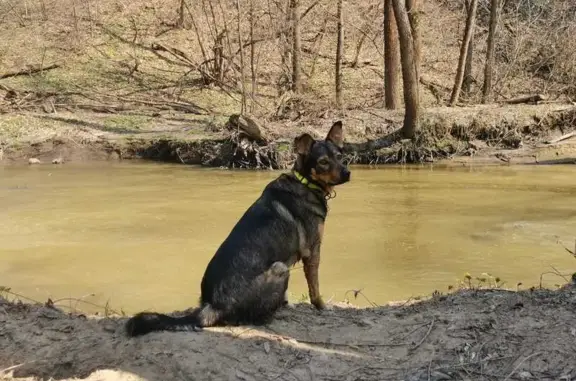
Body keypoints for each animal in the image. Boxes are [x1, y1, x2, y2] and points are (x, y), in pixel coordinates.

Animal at [126, 121, 352, 336]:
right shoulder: (312, 252)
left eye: (340, 156)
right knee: (253, 318)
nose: (348, 173)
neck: (306, 183)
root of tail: (212, 306)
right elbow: (315, 288)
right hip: (280, 268)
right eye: (323, 162)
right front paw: (321, 306)